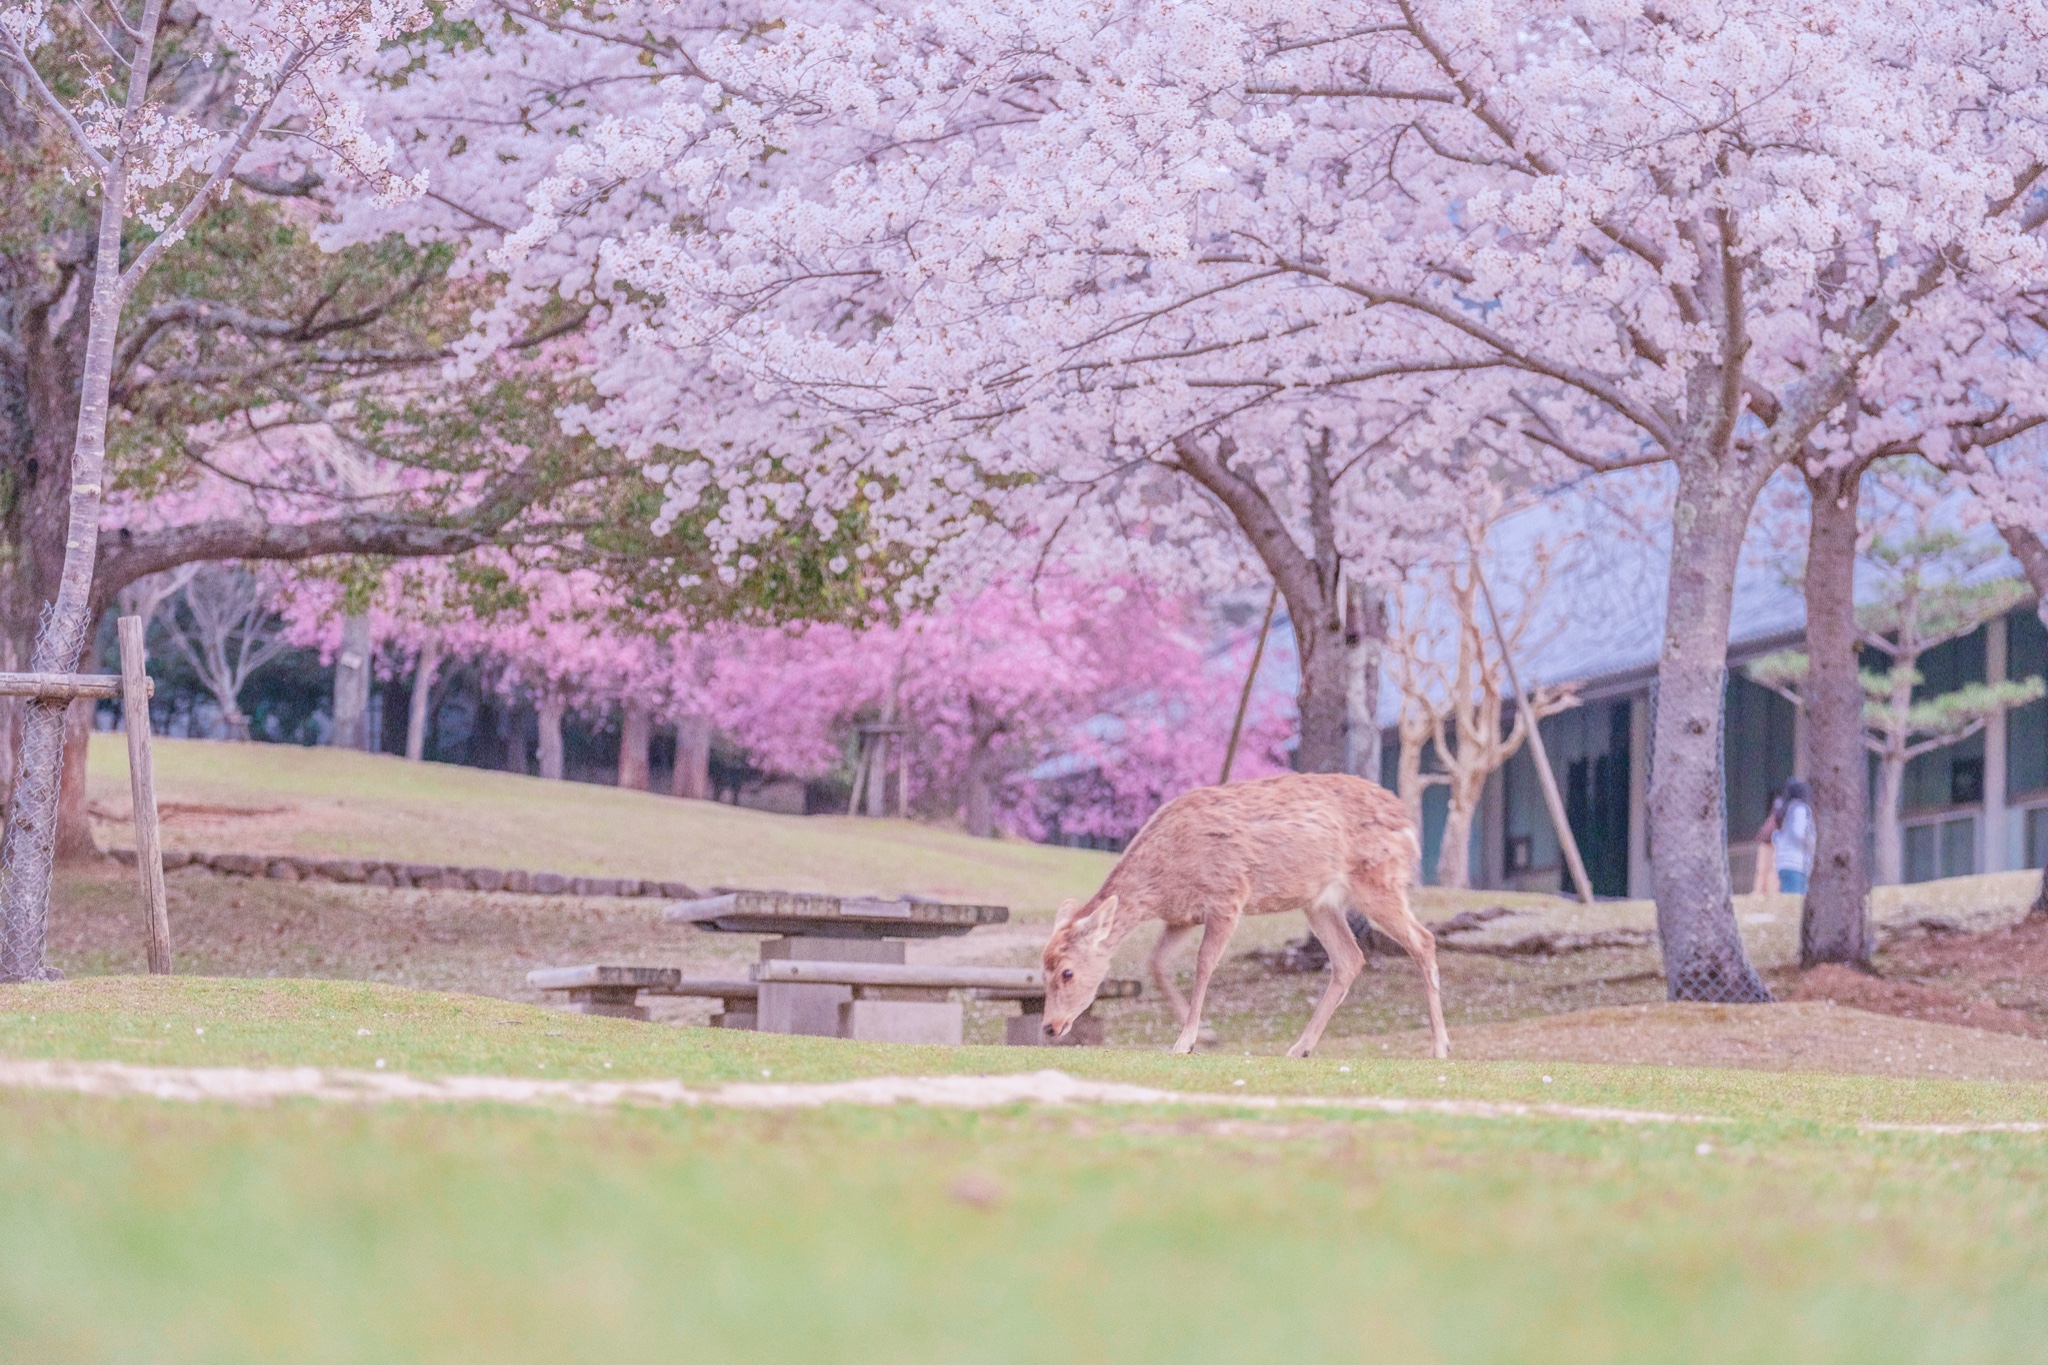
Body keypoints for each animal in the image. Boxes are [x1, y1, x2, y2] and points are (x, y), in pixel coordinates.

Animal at [1048, 777, 1449, 1055]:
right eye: (1043, 966)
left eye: (1067, 972)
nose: (1050, 1027)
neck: (1163, 881)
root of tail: (1407, 821)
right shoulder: (1181, 916)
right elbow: (1157, 963)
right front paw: (1207, 1036)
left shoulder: (1227, 896)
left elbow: (1204, 964)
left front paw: (1186, 1041)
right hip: (1318, 902)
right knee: (1350, 958)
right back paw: (1299, 1048)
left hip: (1378, 881)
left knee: (1424, 940)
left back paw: (1440, 1047)